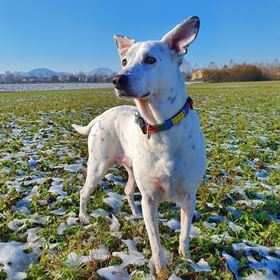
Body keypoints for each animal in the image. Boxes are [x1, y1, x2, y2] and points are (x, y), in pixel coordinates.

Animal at [72, 17, 206, 278]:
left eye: (150, 60)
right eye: (124, 61)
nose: (117, 79)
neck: (161, 126)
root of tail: (100, 116)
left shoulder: (188, 197)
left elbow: (184, 234)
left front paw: (187, 260)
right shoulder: (150, 199)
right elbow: (155, 241)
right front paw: (162, 269)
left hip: (131, 169)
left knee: (127, 191)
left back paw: (134, 214)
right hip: (98, 165)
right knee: (84, 192)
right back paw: (84, 217)